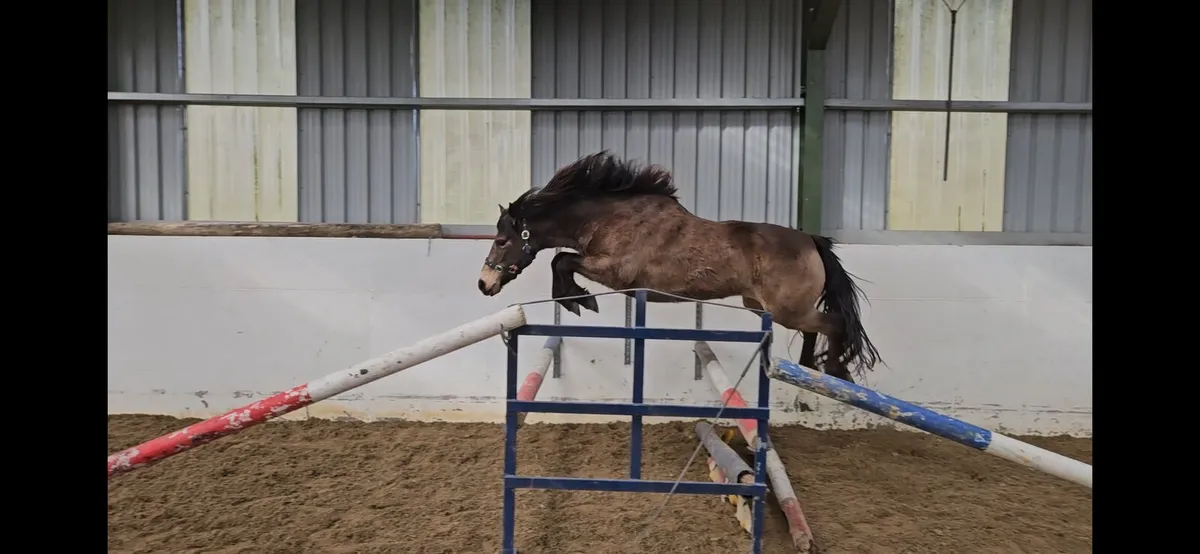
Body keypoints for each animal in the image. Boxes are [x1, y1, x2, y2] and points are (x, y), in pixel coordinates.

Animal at [476, 151, 881, 382]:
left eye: (502, 241)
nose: (483, 284)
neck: (610, 216)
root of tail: (811, 241)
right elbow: (561, 261)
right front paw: (576, 299)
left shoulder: (616, 272)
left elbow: (561, 261)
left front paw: (578, 300)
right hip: (764, 307)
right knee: (818, 328)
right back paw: (807, 369)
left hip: (786, 310)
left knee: (835, 323)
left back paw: (834, 372)